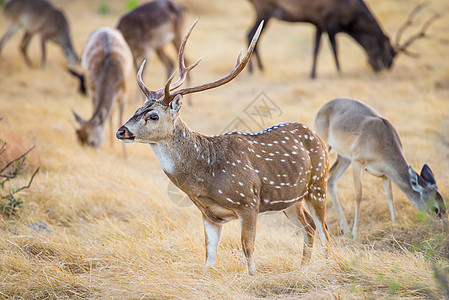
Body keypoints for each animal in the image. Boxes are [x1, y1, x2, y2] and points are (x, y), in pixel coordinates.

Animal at [117, 19, 330, 276]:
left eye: (154, 116)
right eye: (137, 110)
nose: (121, 131)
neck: (206, 177)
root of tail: (318, 137)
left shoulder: (248, 201)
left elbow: (247, 247)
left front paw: (252, 277)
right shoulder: (208, 214)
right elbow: (209, 255)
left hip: (318, 183)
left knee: (324, 229)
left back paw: (330, 265)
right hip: (291, 199)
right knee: (309, 227)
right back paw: (303, 267)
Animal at [245, 0, 438, 78]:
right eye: (391, 54)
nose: (383, 68)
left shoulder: (319, 23)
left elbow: (316, 47)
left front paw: (313, 74)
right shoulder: (330, 22)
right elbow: (334, 48)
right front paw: (339, 72)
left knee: (253, 36)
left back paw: (260, 68)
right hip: (264, 10)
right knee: (249, 34)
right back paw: (253, 70)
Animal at [312, 97, 444, 240]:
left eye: (445, 206)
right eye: (435, 208)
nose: (441, 229)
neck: (381, 143)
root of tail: (321, 109)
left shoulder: (385, 174)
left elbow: (390, 195)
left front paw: (394, 224)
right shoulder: (357, 160)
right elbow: (358, 195)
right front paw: (356, 234)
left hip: (344, 157)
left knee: (330, 180)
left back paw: (344, 229)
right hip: (325, 146)